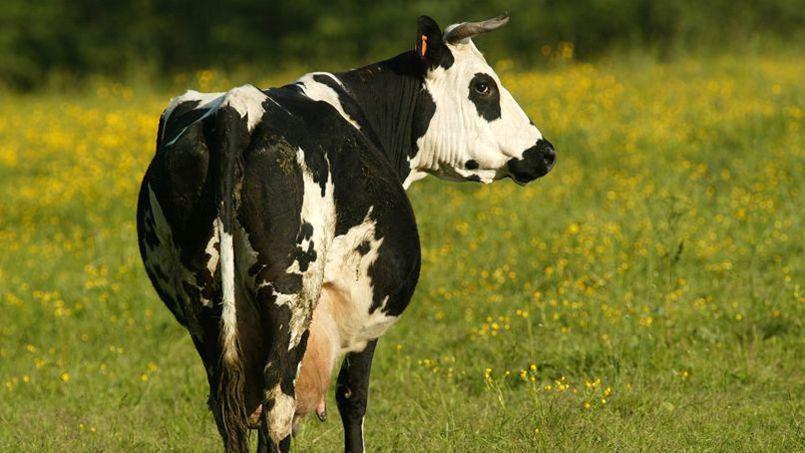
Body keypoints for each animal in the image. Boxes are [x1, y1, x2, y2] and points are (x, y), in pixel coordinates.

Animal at [137, 14, 552, 452]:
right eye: (482, 85)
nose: (545, 151)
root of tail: (238, 106)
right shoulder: (363, 315)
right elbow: (353, 397)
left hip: (201, 305)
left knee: (230, 413)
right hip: (292, 296)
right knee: (278, 407)